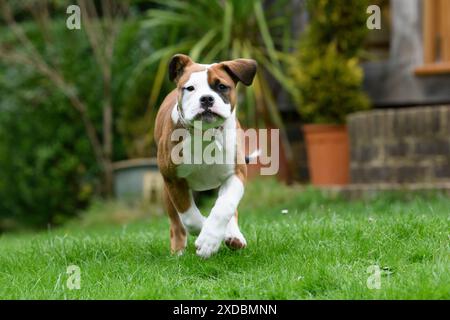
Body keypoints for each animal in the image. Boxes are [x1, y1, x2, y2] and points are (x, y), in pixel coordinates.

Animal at [155, 53, 256, 258]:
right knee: (176, 224)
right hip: (166, 192)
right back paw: (178, 252)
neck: (205, 133)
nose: (207, 99)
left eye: (222, 86)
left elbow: (225, 206)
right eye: (190, 88)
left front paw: (211, 238)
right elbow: (189, 217)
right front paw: (206, 235)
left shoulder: (236, 173)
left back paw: (233, 235)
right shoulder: (174, 180)